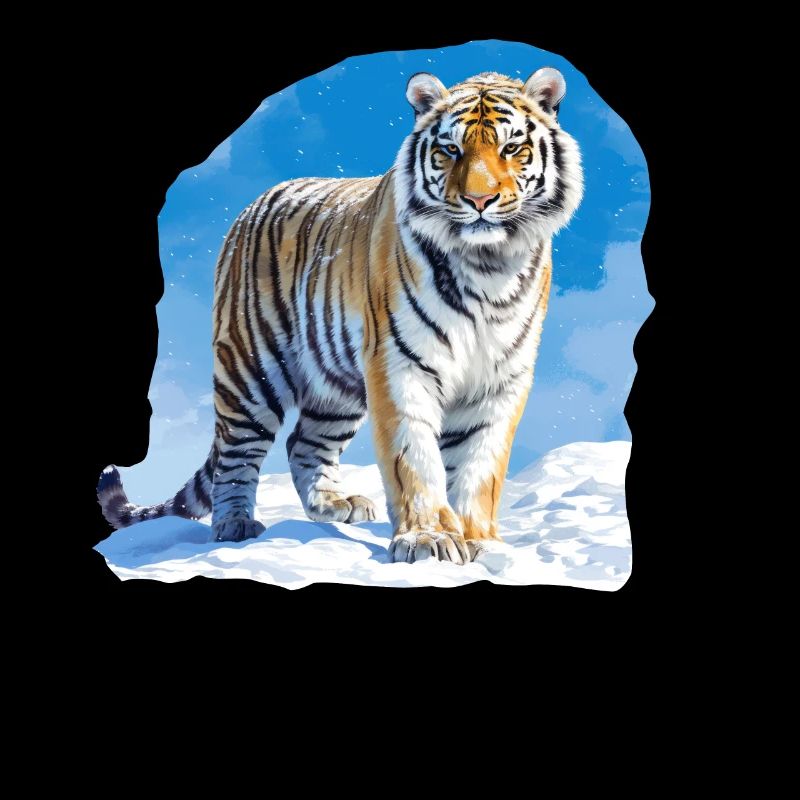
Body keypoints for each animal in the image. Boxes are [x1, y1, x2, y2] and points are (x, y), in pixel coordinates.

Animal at [98, 68, 583, 565]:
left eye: (512, 149)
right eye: (451, 150)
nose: (479, 200)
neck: (487, 266)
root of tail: (250, 208)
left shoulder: (501, 377)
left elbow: (479, 466)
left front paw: (480, 540)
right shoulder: (400, 363)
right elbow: (415, 456)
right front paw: (428, 539)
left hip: (338, 384)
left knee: (303, 443)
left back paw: (334, 505)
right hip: (251, 370)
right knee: (237, 453)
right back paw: (234, 524)